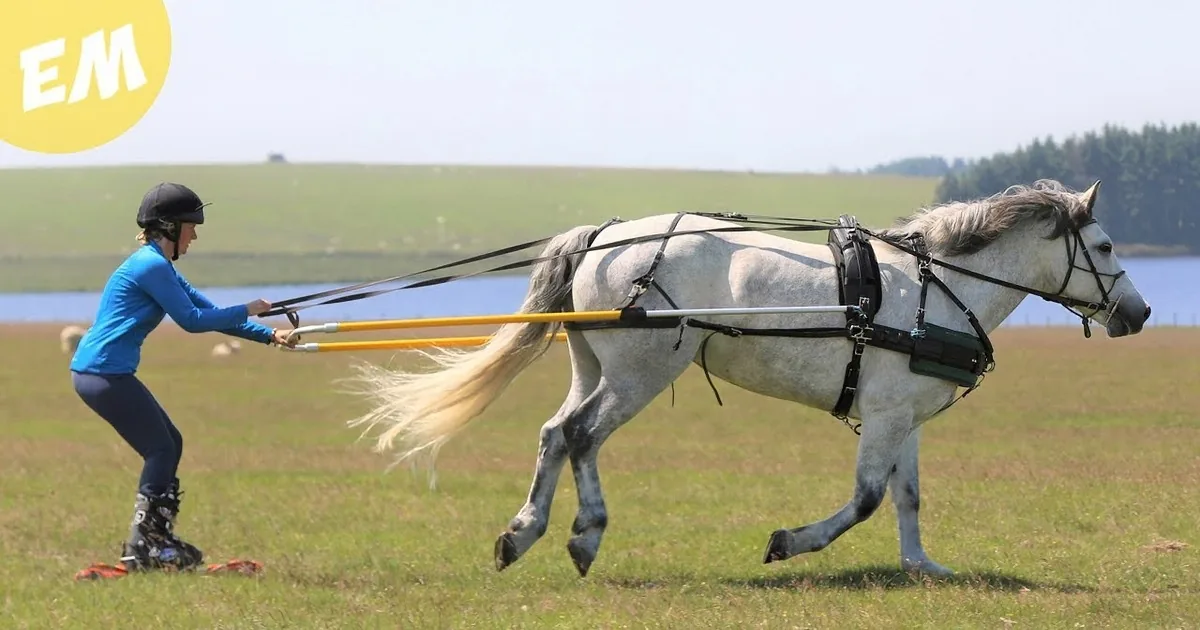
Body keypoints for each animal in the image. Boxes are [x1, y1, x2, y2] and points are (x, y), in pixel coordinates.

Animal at [341, 178, 1151, 578]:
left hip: (594, 365)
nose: (1139, 314)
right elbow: (865, 498)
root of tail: (606, 236)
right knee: (580, 436)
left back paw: (528, 532)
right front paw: (790, 542)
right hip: (639, 373)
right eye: (1109, 245)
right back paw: (576, 535)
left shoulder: (904, 414)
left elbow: (908, 498)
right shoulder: (887, 415)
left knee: (554, 434)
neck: (935, 288)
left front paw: (923, 566)